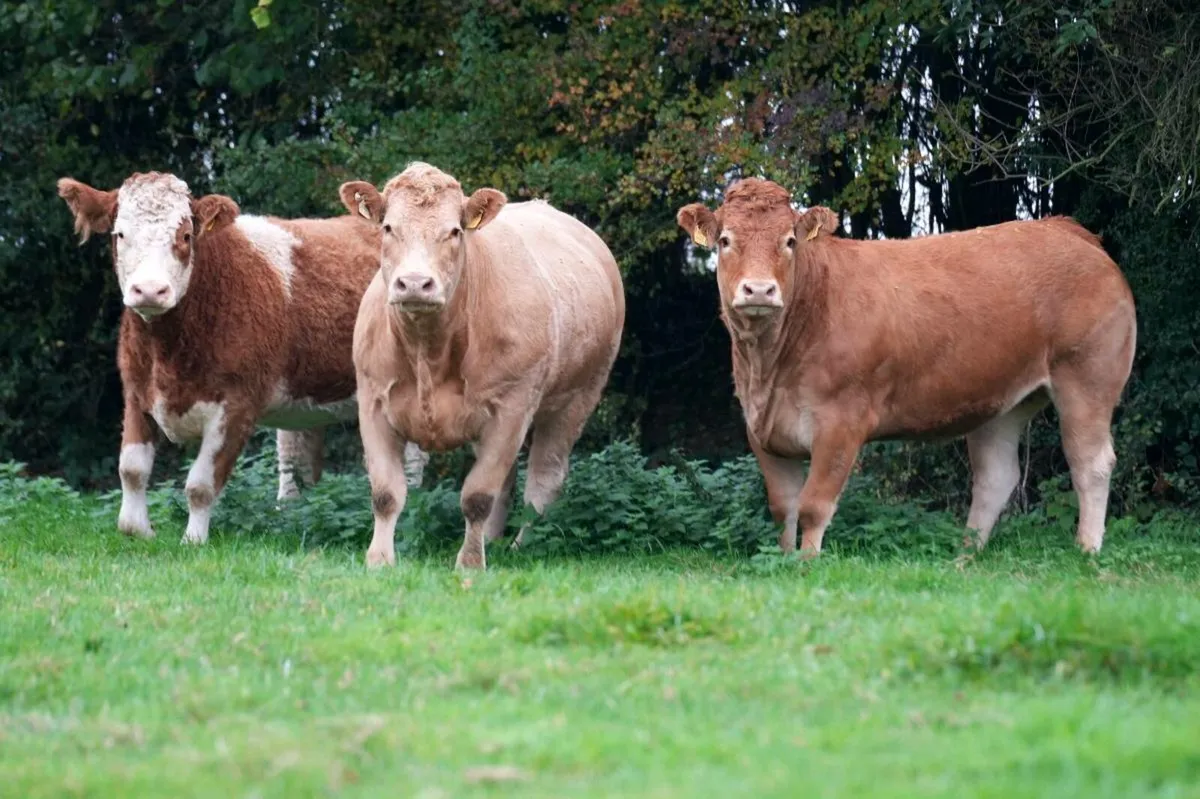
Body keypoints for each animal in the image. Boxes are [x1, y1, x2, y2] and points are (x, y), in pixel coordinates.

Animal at [57, 172, 428, 545]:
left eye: (185, 236)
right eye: (120, 234)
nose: (149, 290)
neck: (168, 354)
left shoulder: (236, 406)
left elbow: (200, 485)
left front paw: (193, 541)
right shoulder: (137, 392)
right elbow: (131, 470)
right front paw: (141, 532)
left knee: (412, 461)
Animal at [341, 162, 625, 570]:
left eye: (454, 231)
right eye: (388, 227)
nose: (414, 283)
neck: (429, 352)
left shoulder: (512, 409)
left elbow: (477, 496)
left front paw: (470, 563)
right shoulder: (373, 402)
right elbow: (385, 493)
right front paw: (379, 561)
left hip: (579, 398)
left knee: (543, 483)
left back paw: (523, 546)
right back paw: (492, 539)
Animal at [677, 178, 1137, 556]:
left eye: (790, 241)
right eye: (725, 241)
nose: (759, 290)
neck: (768, 368)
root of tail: (1067, 229)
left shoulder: (841, 423)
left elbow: (812, 506)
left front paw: (807, 566)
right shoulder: (761, 429)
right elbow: (782, 509)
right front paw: (787, 562)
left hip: (1087, 376)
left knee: (1090, 462)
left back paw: (1086, 551)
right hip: (1004, 399)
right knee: (996, 477)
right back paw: (963, 559)